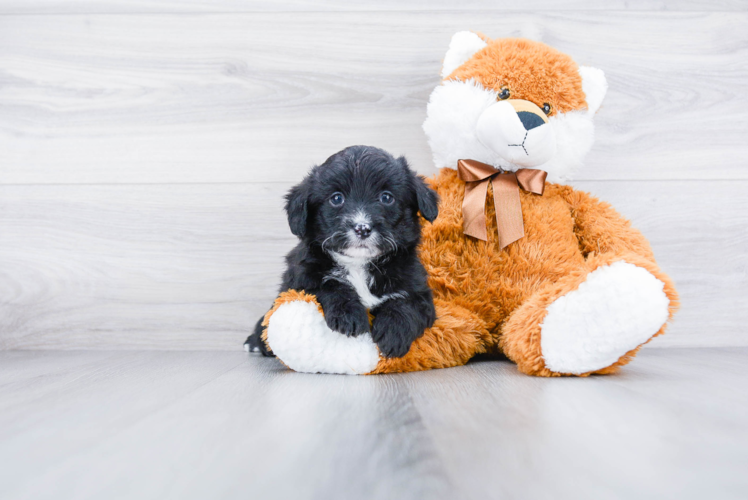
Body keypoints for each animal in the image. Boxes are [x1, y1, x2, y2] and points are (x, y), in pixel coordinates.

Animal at [245, 145, 442, 360]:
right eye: (337, 198)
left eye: (387, 197)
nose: (362, 228)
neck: (359, 264)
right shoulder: (300, 281)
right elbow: (328, 286)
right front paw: (349, 315)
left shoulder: (419, 291)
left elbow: (406, 304)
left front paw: (392, 332)